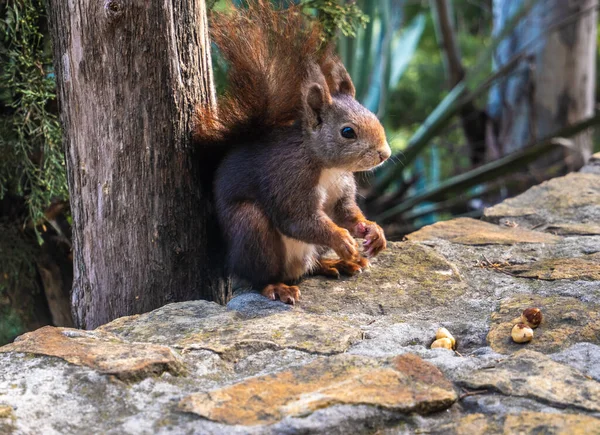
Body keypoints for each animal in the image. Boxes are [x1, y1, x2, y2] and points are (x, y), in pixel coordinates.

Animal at [197, 1, 392, 304]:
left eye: (373, 114)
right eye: (348, 132)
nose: (385, 154)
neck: (326, 166)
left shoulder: (342, 188)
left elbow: (346, 213)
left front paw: (372, 230)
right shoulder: (288, 180)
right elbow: (298, 219)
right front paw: (341, 239)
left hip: (307, 251)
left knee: (311, 266)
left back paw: (338, 263)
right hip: (252, 229)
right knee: (260, 276)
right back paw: (277, 286)